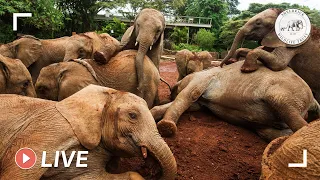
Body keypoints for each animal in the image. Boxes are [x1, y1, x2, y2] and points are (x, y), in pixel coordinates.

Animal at [151, 60, 318, 141]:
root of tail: (313, 101)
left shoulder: (204, 77)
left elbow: (188, 95)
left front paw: (166, 127)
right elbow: (192, 105)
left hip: (287, 92)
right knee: (265, 131)